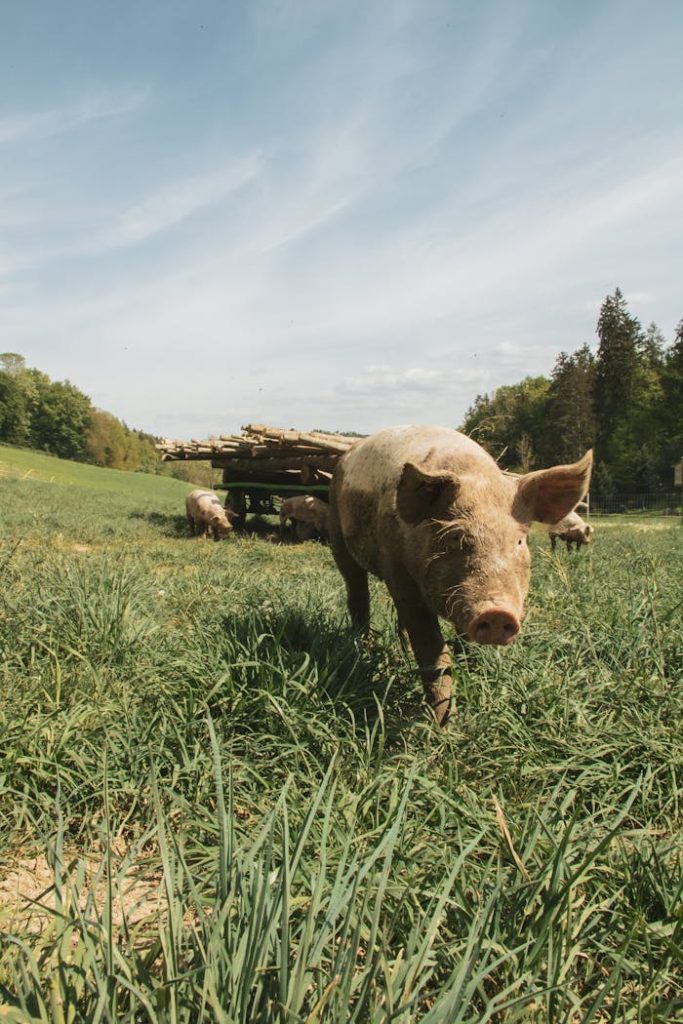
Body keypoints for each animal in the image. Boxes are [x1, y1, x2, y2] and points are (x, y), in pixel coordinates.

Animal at [329, 426, 593, 725]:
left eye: (519, 541)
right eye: (455, 537)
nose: (498, 613)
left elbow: (463, 641)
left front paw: (475, 672)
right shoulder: (398, 572)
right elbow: (432, 649)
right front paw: (443, 724)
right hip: (337, 532)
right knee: (357, 593)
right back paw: (363, 648)